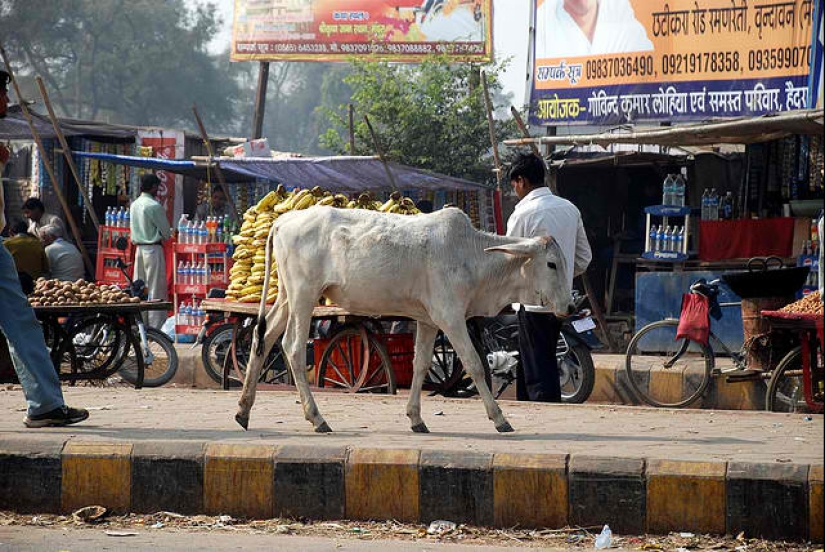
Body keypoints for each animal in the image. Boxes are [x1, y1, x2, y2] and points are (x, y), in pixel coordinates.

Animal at [236, 205, 575, 434]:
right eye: (551, 264)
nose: (570, 307)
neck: (472, 255)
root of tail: (283, 221)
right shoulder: (451, 318)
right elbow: (475, 364)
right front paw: (500, 418)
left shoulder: (429, 321)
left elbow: (421, 365)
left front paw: (416, 418)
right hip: (304, 296)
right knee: (292, 348)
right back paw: (317, 418)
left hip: (287, 297)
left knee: (262, 338)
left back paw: (243, 411)